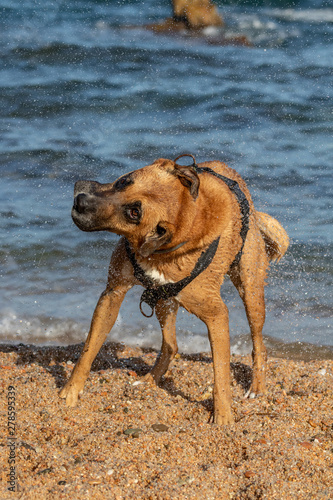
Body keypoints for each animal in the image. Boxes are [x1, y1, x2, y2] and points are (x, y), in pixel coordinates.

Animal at [59, 154, 288, 424]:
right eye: (125, 181)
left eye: (134, 213)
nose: (80, 202)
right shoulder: (113, 292)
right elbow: (89, 348)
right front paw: (70, 391)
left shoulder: (217, 314)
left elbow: (221, 372)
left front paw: (223, 416)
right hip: (163, 300)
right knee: (171, 345)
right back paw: (149, 380)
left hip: (250, 291)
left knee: (259, 345)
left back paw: (257, 387)